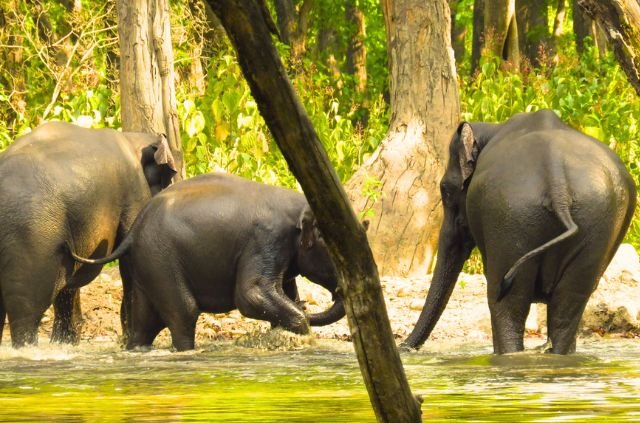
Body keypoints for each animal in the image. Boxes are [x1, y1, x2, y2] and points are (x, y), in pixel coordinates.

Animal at [0, 121, 176, 348]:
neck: (131, 138)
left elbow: (68, 282)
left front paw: (65, 343)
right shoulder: (133, 192)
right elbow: (129, 262)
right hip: (33, 237)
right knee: (26, 310)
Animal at [69, 172, 347, 351]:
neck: (298, 204)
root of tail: (134, 230)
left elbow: (284, 292)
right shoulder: (266, 239)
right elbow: (251, 295)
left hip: (145, 265)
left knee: (143, 324)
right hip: (160, 260)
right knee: (184, 313)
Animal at [402, 109, 636, 354]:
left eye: (445, 190)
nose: (404, 348)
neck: (490, 128)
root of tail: (557, 184)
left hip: (509, 216)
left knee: (505, 301)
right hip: (595, 220)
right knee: (569, 301)